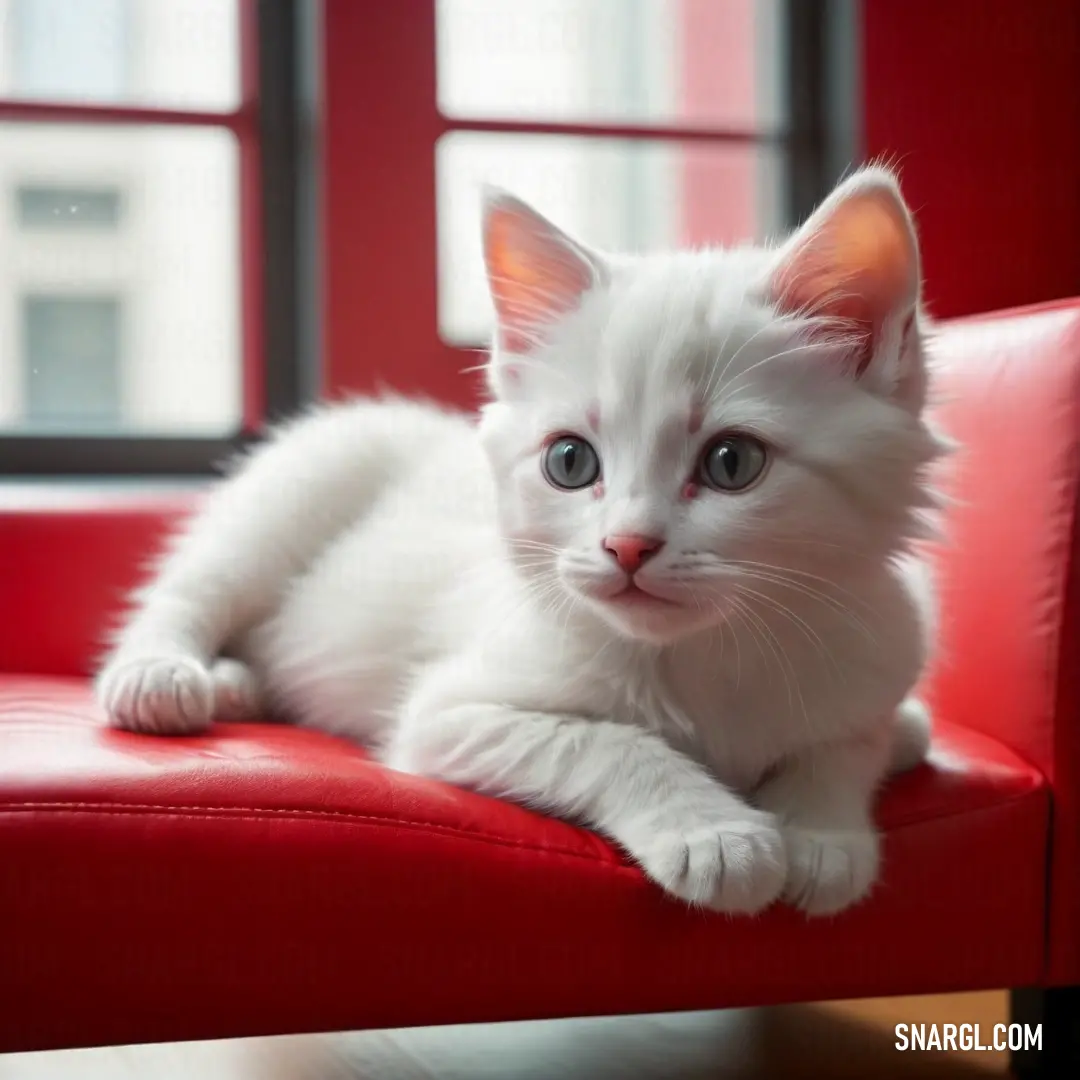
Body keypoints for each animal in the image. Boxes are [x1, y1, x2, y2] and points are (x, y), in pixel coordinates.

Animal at [99, 168, 946, 920]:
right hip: (296, 488)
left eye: (732, 462)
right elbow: (602, 740)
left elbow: (852, 739)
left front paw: (822, 832)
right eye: (570, 462)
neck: (711, 653)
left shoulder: (876, 648)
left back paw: (236, 684)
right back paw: (165, 678)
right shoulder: (448, 714)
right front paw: (715, 834)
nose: (627, 546)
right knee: (192, 589)